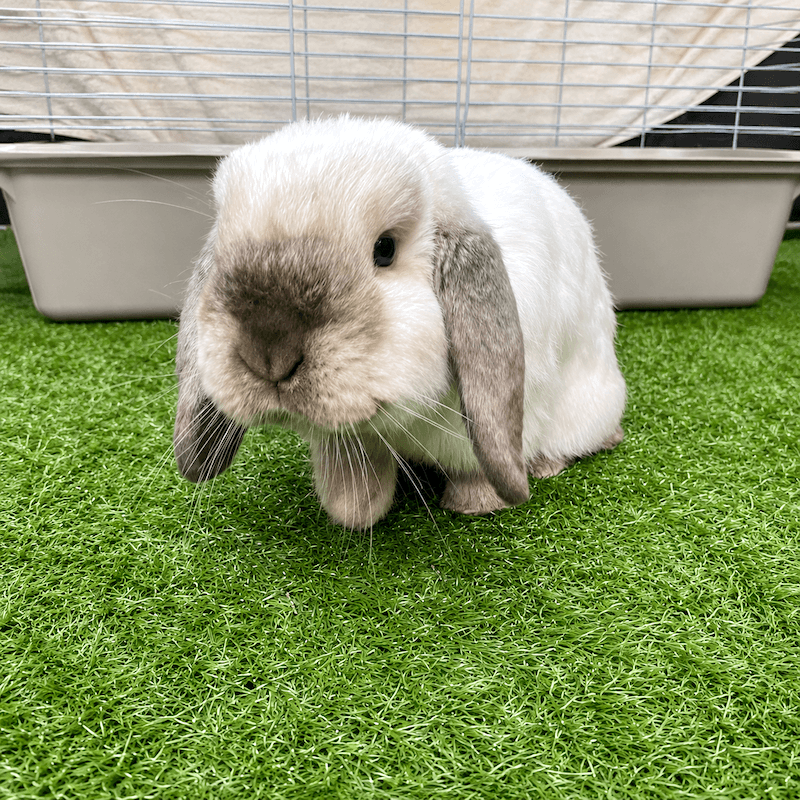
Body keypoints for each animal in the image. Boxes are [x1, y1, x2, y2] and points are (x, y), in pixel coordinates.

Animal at [174, 115, 626, 530]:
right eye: (223, 251)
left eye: (385, 249)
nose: (268, 356)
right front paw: (352, 510)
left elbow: (476, 464)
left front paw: (475, 505)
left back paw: (550, 463)